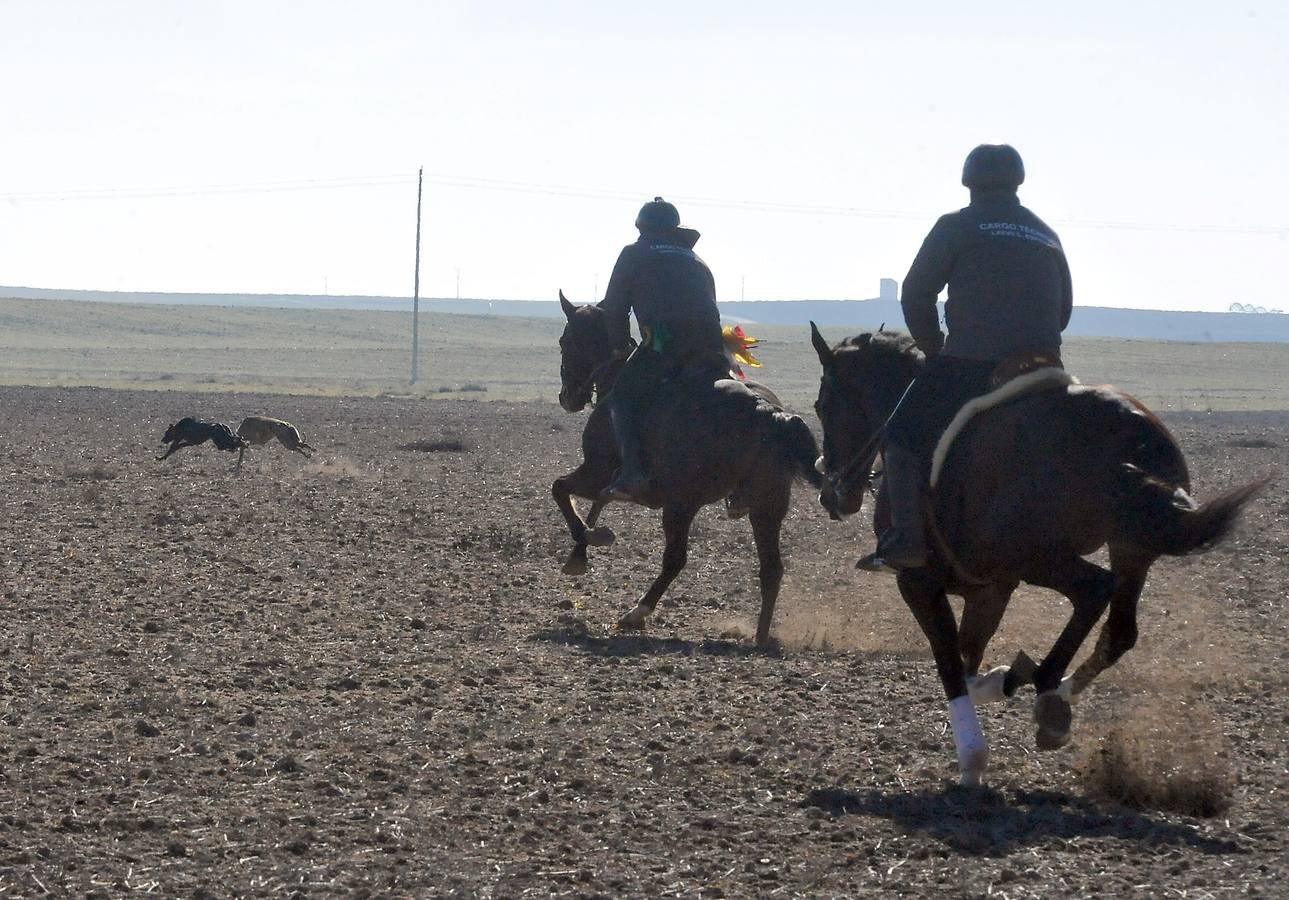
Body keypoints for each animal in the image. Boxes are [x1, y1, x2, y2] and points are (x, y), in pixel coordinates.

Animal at [554, 291, 824, 642]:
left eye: (565, 340)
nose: (567, 397)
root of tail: (766, 410)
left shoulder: (596, 470)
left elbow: (561, 489)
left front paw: (586, 545)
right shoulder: (605, 480)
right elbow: (593, 503)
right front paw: (582, 547)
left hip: (682, 504)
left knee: (675, 559)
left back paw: (635, 613)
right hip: (767, 503)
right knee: (771, 569)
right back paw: (760, 637)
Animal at [809, 326, 1263, 783]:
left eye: (822, 404)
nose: (831, 492)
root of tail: (1129, 434)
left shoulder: (921, 585)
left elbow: (951, 664)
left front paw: (972, 758)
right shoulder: (989, 589)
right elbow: (969, 656)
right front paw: (998, 682)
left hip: (1038, 557)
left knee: (1095, 589)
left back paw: (1047, 691)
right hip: (1129, 548)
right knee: (1119, 630)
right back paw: (1055, 692)